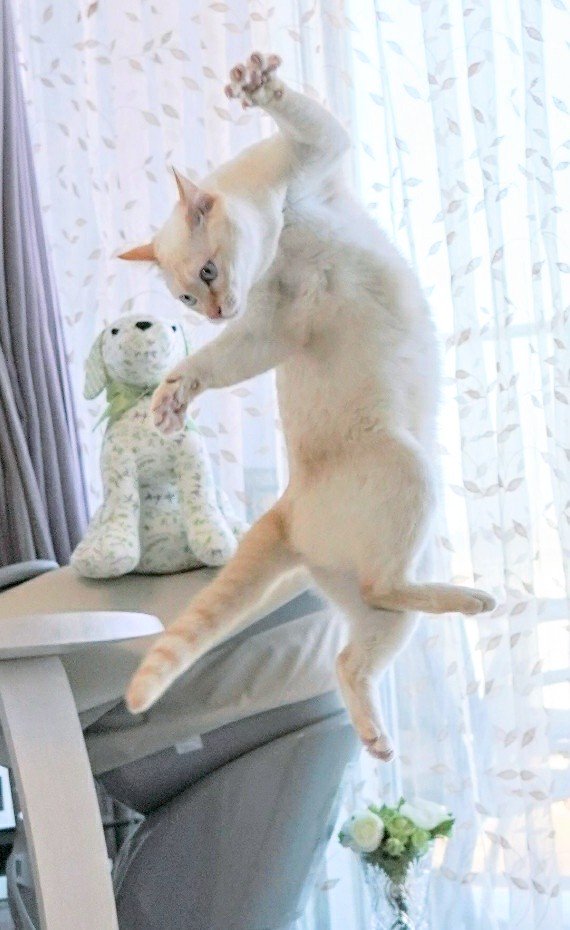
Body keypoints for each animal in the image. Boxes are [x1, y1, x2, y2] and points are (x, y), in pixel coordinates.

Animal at [119, 52, 495, 759]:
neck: (282, 237)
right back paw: (475, 600)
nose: (213, 313)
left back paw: (377, 739)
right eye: (185, 300)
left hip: (386, 602)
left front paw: (171, 399)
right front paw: (256, 84)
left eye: (205, 276)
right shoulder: (266, 324)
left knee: (350, 661)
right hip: (410, 469)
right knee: (381, 595)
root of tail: (286, 509)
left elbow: (210, 365)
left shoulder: (269, 322)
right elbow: (212, 362)